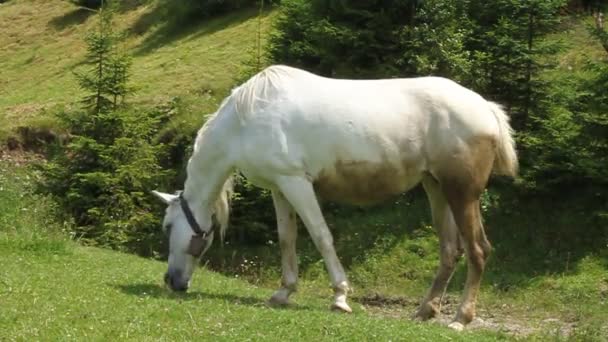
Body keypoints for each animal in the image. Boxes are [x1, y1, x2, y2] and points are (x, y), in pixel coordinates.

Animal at [153, 65, 516, 332]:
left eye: (168, 226)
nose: (171, 281)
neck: (246, 119)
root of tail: (485, 108)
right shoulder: (279, 187)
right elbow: (287, 239)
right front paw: (284, 292)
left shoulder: (297, 183)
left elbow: (320, 236)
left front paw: (340, 297)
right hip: (436, 188)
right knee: (450, 251)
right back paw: (425, 310)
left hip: (461, 192)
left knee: (478, 250)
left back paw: (460, 319)